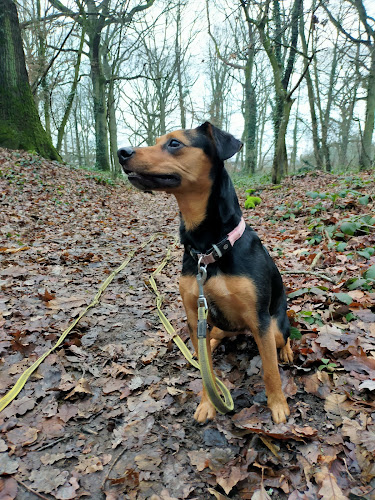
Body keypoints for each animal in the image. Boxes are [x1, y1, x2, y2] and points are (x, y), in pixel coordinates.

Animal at [117, 123, 294, 424]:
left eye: (174, 143)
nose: (122, 151)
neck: (207, 249)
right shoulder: (194, 316)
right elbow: (206, 371)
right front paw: (207, 404)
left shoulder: (260, 320)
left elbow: (270, 369)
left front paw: (278, 405)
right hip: (218, 326)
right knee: (212, 340)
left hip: (274, 326)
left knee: (285, 336)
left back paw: (287, 351)